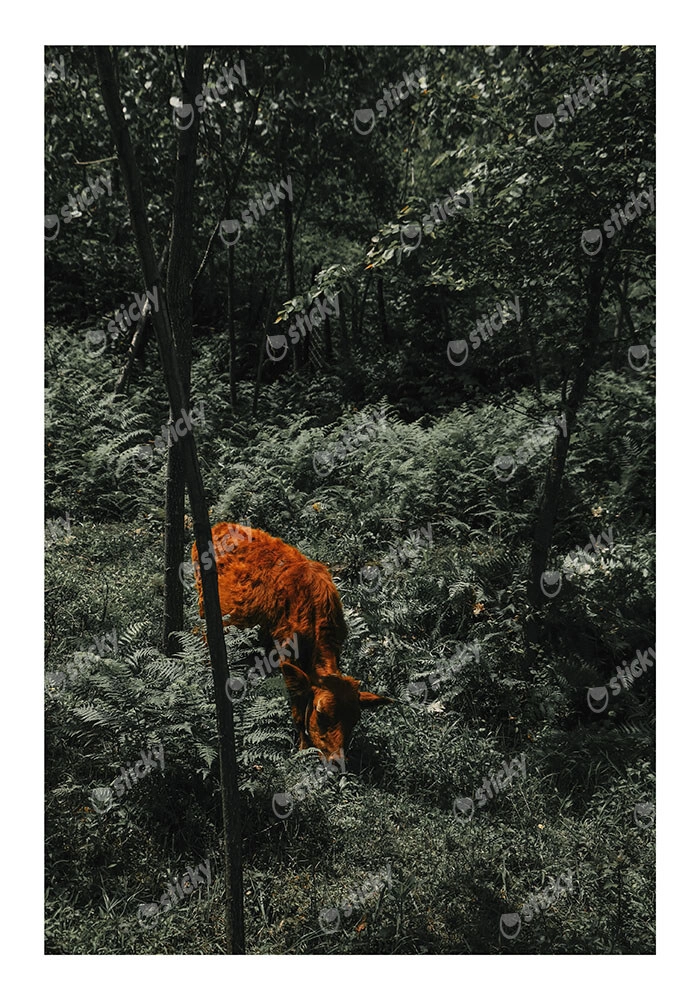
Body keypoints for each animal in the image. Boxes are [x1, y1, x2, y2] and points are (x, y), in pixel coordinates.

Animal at [192, 522, 390, 760]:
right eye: (320, 714)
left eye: (355, 719)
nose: (337, 759)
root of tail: (221, 525)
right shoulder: (287, 657)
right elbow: (297, 708)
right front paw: (302, 749)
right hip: (204, 608)